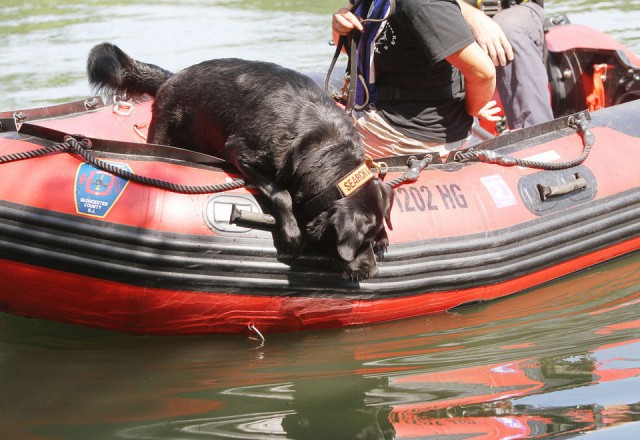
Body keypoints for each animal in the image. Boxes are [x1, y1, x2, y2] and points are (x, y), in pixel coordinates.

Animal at [87, 43, 392, 278]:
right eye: (359, 241)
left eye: (372, 237)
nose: (373, 272)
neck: (322, 145)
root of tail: (172, 77)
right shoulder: (242, 153)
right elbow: (281, 194)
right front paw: (292, 231)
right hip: (163, 135)